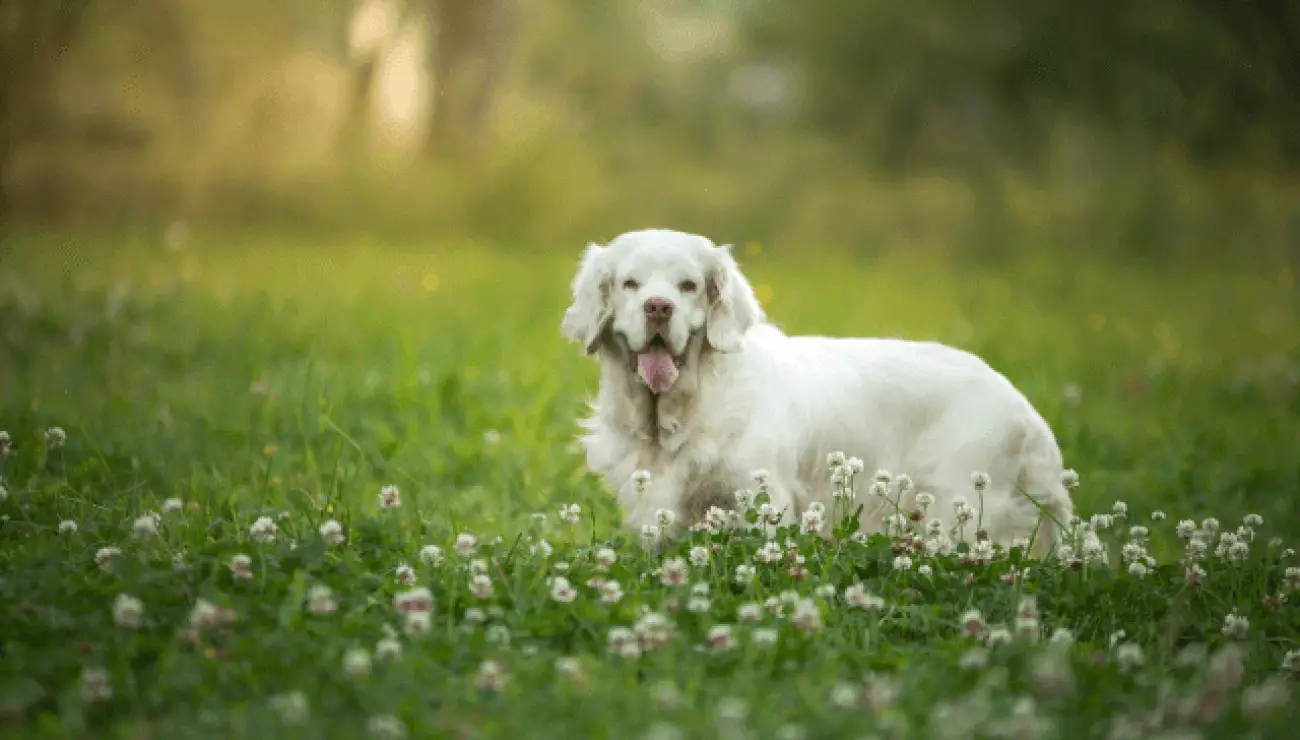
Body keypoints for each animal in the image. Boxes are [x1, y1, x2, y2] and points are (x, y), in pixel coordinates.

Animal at [561, 228, 1076, 554]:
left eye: (688, 285)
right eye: (630, 283)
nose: (658, 307)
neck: (683, 409)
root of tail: (1025, 409)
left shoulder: (764, 497)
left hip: (959, 504)